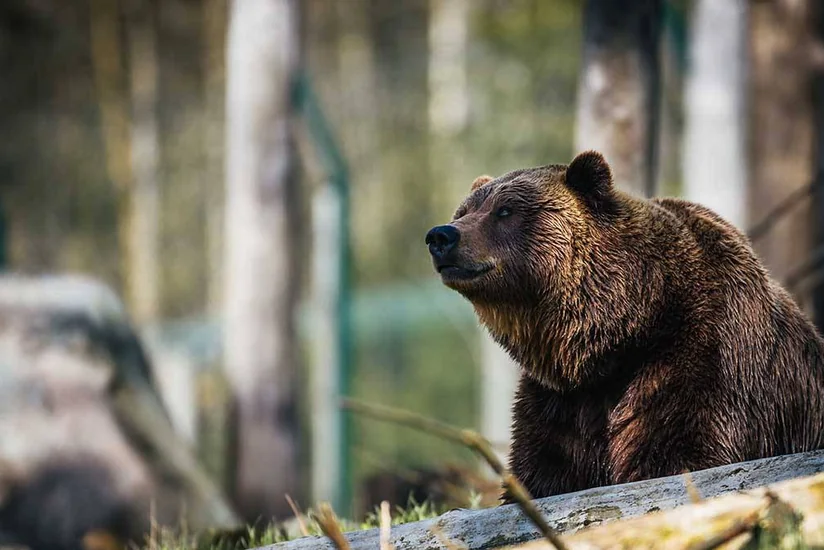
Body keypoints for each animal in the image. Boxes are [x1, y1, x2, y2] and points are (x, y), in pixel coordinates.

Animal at [425, 150, 824, 500]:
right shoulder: (561, 401)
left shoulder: (703, 357)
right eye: (464, 210)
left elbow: (680, 451)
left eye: (505, 210)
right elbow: (543, 470)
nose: (441, 235)